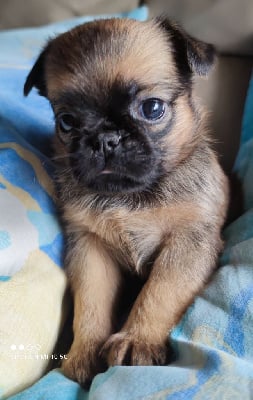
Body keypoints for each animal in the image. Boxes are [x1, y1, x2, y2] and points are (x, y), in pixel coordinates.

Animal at [24, 17, 229, 386]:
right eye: (66, 122)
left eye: (152, 108)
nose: (105, 139)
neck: (131, 196)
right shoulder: (90, 249)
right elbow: (91, 304)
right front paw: (85, 351)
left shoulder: (187, 243)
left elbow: (160, 292)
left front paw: (138, 339)